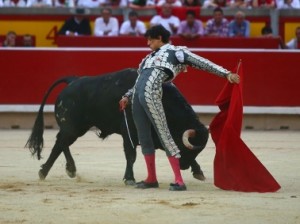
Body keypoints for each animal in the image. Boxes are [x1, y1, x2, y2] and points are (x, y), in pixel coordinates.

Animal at [25, 68, 209, 184]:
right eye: (188, 150)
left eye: (197, 151)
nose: (184, 166)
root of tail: (73, 80)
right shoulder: (129, 132)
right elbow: (131, 155)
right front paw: (129, 178)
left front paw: (198, 171)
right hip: (74, 128)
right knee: (61, 142)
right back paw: (57, 170)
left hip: (77, 128)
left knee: (60, 142)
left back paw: (58, 170)